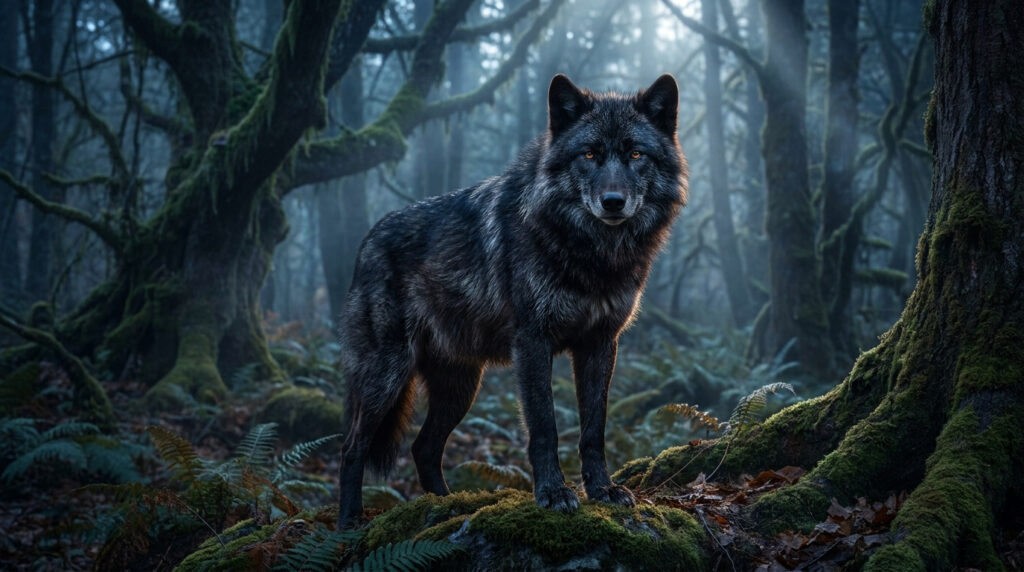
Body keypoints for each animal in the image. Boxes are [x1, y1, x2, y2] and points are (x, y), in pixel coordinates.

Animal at [337, 74, 688, 526]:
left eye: (636, 154)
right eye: (589, 154)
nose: (613, 202)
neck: (592, 254)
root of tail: (366, 242)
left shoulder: (600, 344)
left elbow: (594, 428)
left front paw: (602, 490)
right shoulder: (532, 342)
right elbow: (544, 426)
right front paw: (553, 493)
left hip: (460, 387)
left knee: (423, 448)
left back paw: (448, 506)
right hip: (387, 377)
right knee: (351, 446)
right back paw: (349, 522)